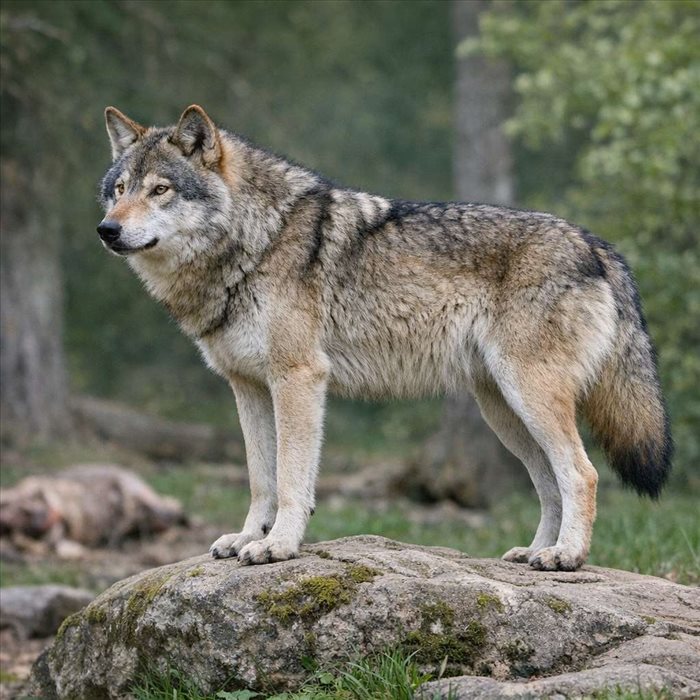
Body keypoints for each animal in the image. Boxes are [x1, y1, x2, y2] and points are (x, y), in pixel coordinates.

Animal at [97, 105, 672, 571]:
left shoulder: (298, 378)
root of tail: (594, 243)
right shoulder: (248, 387)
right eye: (119, 191)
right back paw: (535, 553)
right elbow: (261, 479)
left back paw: (567, 556)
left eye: (160, 189)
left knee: (581, 474)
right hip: (504, 411)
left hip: (529, 396)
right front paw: (245, 539)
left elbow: (290, 479)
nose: (107, 229)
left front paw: (277, 546)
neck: (255, 241)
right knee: (550, 483)